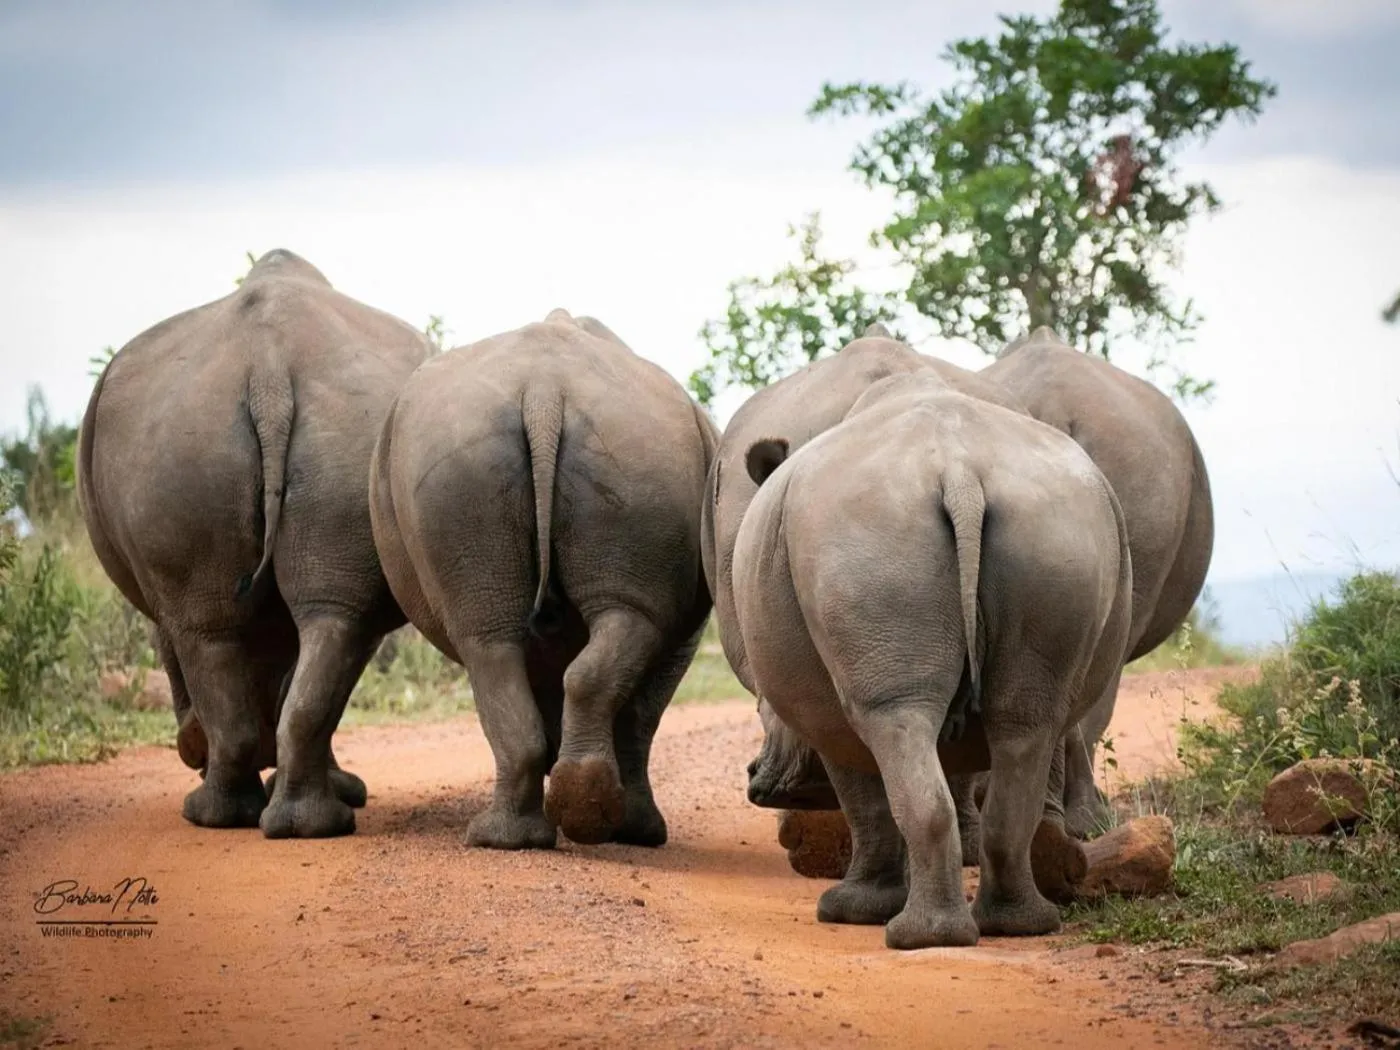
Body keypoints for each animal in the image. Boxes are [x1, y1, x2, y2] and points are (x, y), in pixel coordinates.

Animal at [77, 248, 434, 837]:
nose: (187, 749)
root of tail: (268, 371)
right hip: (271, 434)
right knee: (323, 623)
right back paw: (298, 824)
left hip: (192, 439)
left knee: (213, 629)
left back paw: (215, 814)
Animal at [368, 308, 717, 850]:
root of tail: (545, 392)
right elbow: (641, 714)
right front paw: (631, 830)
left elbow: (636, 712)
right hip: (615, 450)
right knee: (515, 636)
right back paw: (564, 816)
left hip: (545, 452)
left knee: (493, 643)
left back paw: (512, 834)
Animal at [731, 372, 1133, 948]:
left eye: (765, 713)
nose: (756, 779)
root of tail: (959, 474)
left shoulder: (820, 710)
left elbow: (862, 796)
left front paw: (851, 911)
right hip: (1056, 534)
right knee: (1026, 722)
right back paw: (1017, 925)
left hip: (866, 536)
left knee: (894, 719)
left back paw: (914, 936)